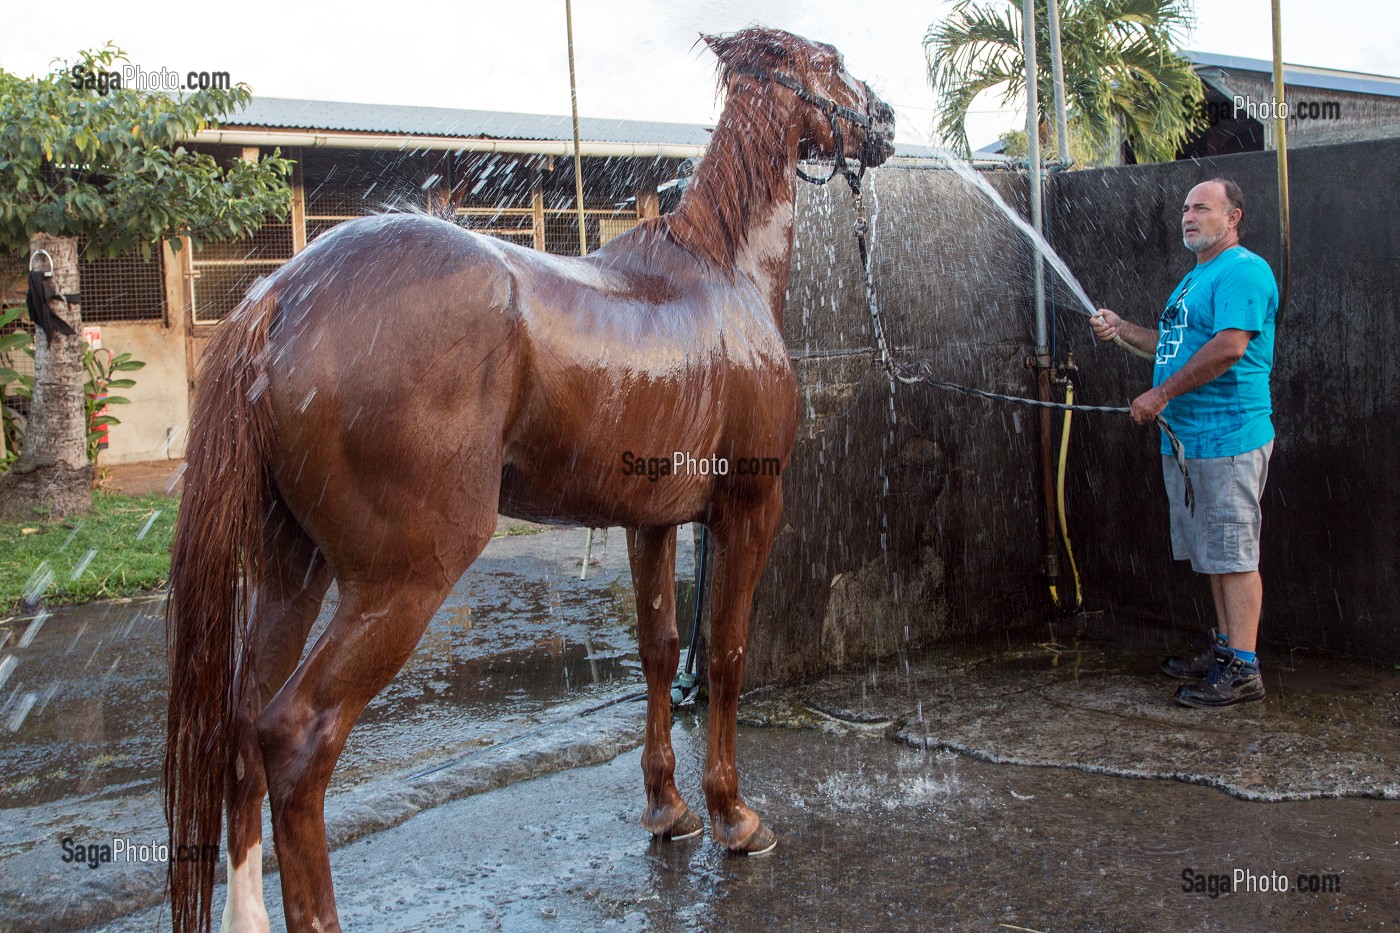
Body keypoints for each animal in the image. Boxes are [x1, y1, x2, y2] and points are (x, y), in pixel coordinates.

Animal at [163, 29, 884, 930]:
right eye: (831, 62)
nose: (886, 121)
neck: (723, 274)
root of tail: (283, 295)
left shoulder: (651, 521)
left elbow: (658, 650)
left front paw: (667, 810)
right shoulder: (749, 509)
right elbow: (725, 654)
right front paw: (733, 817)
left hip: (291, 567)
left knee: (240, 723)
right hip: (403, 578)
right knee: (296, 735)